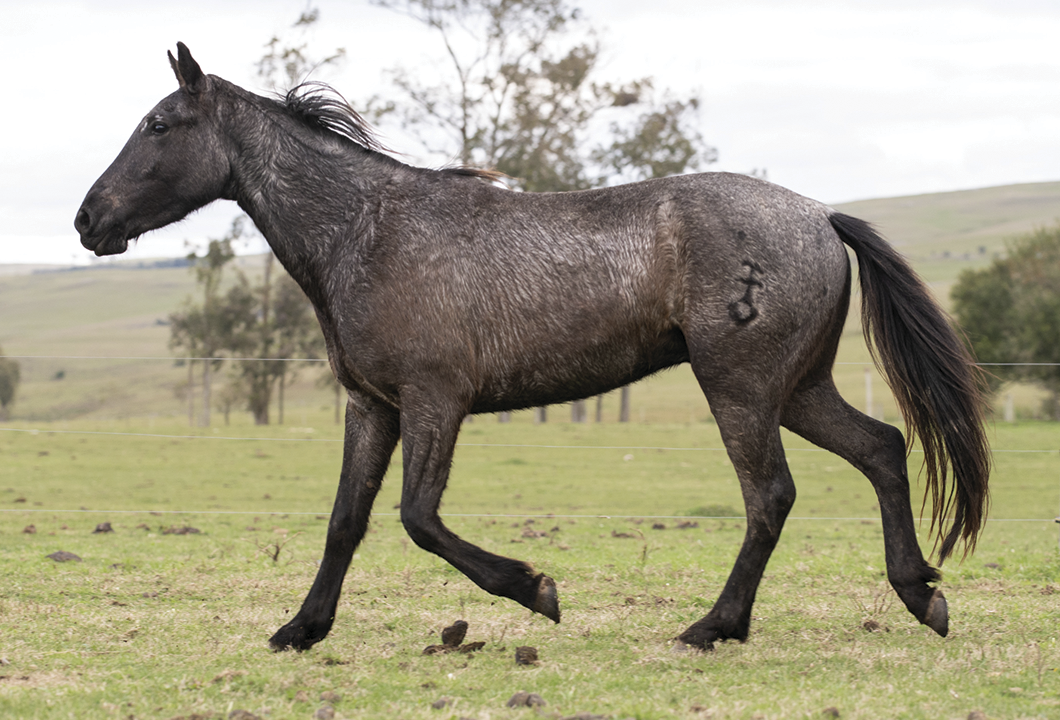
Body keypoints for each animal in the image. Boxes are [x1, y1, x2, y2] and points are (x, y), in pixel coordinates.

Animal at [76, 45, 992, 653]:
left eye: (159, 123)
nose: (88, 219)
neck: (365, 233)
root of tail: (820, 215)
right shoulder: (372, 405)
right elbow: (346, 520)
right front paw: (301, 628)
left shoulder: (436, 399)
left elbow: (418, 518)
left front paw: (538, 590)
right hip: (796, 389)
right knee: (883, 448)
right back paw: (921, 596)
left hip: (740, 390)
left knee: (770, 496)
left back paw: (713, 627)